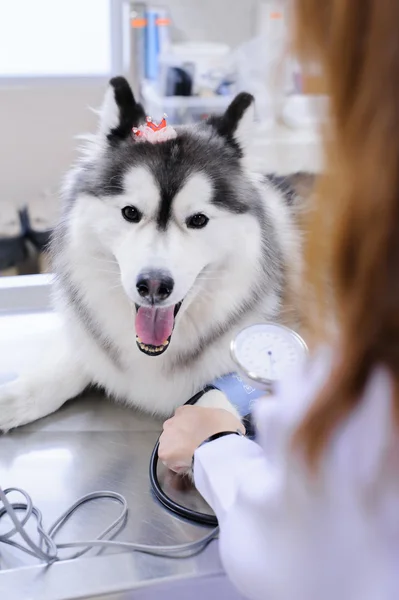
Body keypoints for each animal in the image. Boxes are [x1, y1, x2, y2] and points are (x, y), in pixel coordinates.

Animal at [0, 77, 306, 432]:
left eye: (198, 220)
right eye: (131, 212)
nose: (154, 286)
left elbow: (218, 396)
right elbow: (73, 363)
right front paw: (15, 397)